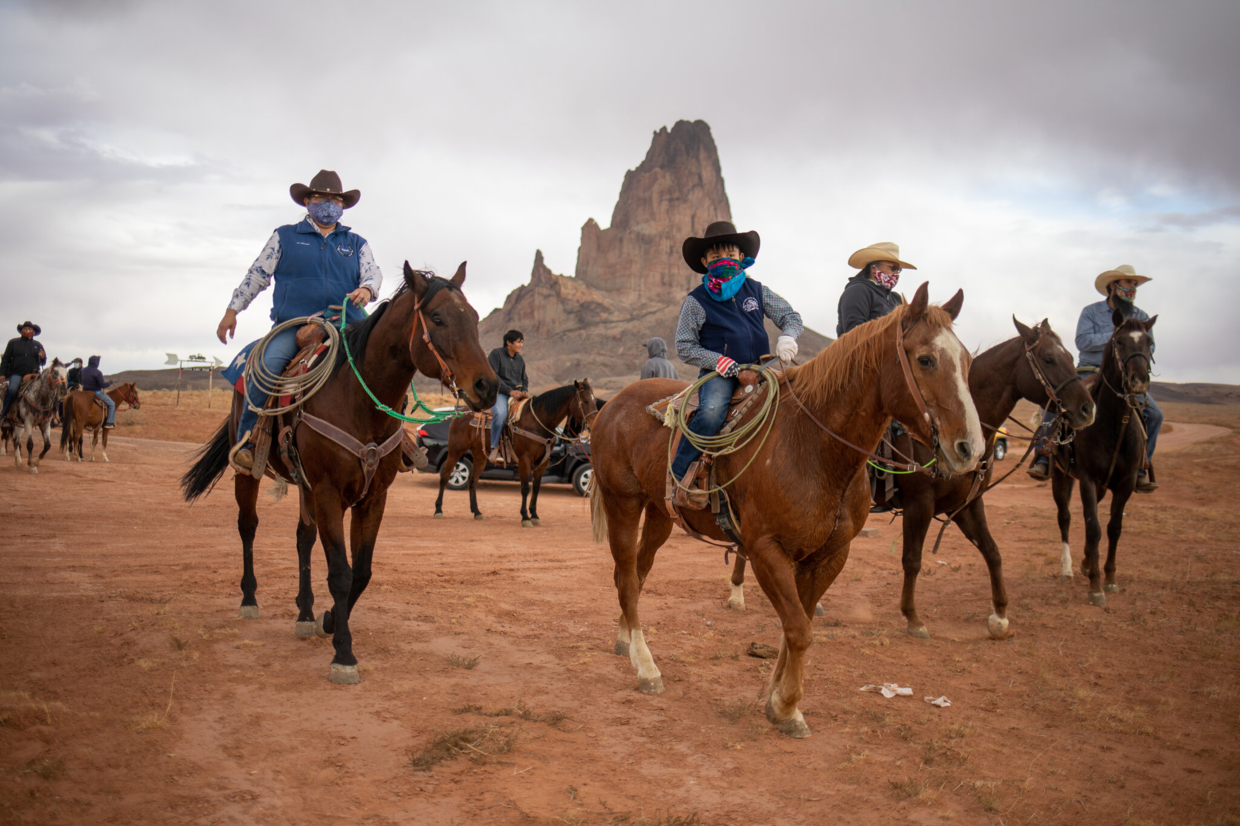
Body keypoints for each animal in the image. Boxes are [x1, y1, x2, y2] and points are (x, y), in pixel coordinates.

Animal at [181, 264, 498, 679]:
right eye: (437, 317)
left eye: (474, 318)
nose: (488, 386)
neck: (357, 401)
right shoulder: (329, 493)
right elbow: (340, 573)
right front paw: (343, 654)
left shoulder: (372, 498)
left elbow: (360, 572)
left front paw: (330, 619)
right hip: (249, 473)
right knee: (247, 526)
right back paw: (249, 598)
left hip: (305, 487)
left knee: (303, 538)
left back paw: (305, 612)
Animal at [434, 377, 597, 520]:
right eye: (585, 401)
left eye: (595, 401)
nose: (594, 422)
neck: (538, 421)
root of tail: (459, 413)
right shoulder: (524, 459)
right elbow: (525, 488)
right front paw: (525, 517)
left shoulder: (542, 462)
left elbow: (536, 488)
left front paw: (534, 515)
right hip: (455, 451)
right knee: (445, 476)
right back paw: (438, 510)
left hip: (480, 455)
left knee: (472, 480)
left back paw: (477, 512)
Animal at [585, 285, 982, 739]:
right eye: (926, 359)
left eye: (967, 360)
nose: (970, 448)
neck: (814, 446)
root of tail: (609, 406)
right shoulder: (765, 551)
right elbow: (798, 629)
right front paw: (789, 705)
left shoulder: (827, 556)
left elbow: (797, 627)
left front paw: (777, 700)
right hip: (622, 502)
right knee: (626, 577)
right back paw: (647, 668)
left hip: (658, 513)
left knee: (636, 572)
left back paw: (625, 641)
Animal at [724, 315, 1096, 635]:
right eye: (1049, 359)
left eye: (1069, 356)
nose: (1087, 409)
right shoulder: (921, 504)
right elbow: (912, 560)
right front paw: (913, 618)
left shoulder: (967, 505)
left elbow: (992, 551)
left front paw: (1000, 615)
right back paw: (738, 593)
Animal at [1051, 308, 1155, 605]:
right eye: (1120, 341)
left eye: (1149, 342)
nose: (1138, 380)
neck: (1113, 423)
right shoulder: (1086, 479)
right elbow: (1093, 528)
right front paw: (1096, 587)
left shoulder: (1126, 483)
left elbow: (1113, 528)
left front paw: (1108, 578)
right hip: (1061, 476)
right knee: (1065, 517)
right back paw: (1069, 568)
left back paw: (1087, 562)